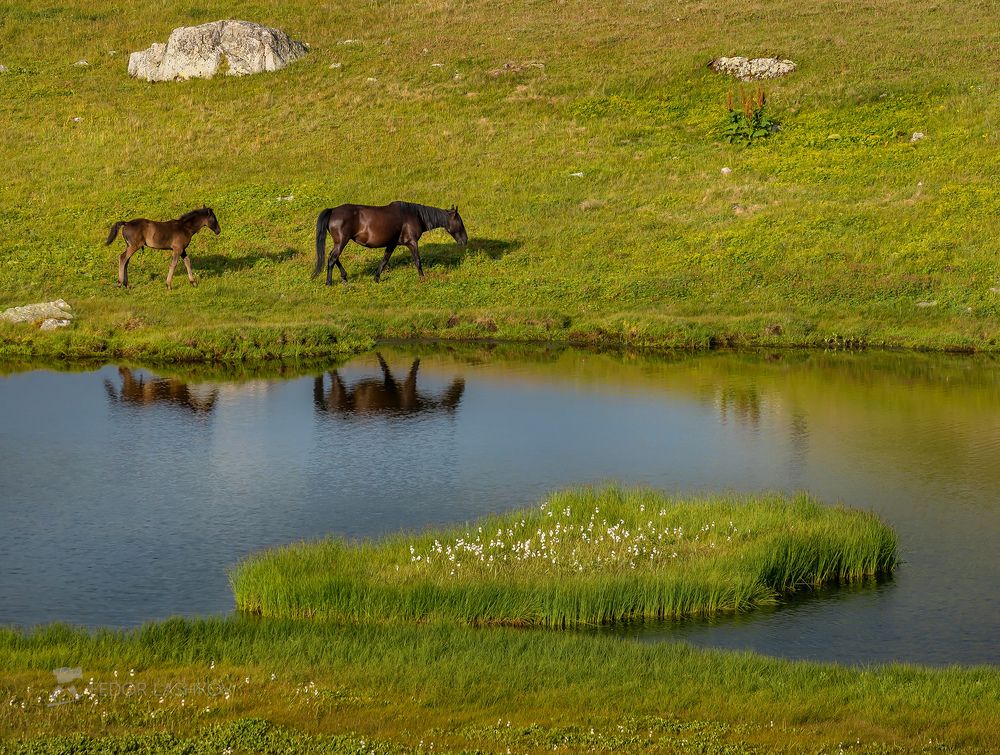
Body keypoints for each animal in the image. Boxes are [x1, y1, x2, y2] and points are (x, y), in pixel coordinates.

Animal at [313, 201, 467, 284]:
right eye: (460, 222)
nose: (465, 240)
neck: (415, 215)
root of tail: (333, 211)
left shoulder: (391, 244)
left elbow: (384, 261)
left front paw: (376, 278)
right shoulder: (412, 242)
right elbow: (418, 261)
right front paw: (422, 278)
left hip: (340, 242)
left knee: (334, 257)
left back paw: (344, 277)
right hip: (342, 241)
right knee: (332, 258)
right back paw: (329, 282)